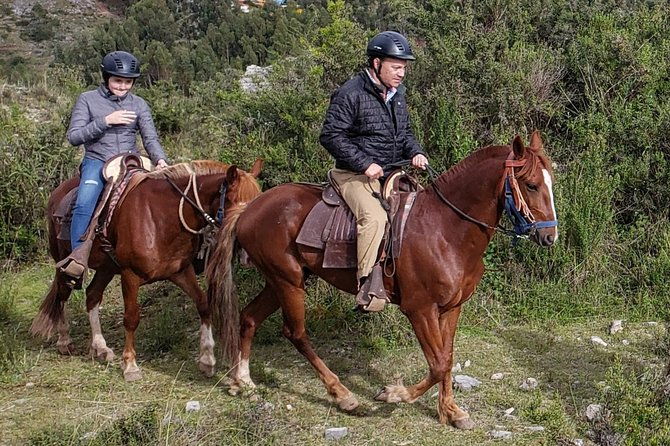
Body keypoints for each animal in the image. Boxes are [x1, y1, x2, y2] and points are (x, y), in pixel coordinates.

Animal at [31, 159, 263, 381]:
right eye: (238, 202)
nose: (249, 248)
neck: (161, 218)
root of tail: (57, 193)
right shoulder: (129, 275)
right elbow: (131, 318)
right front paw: (130, 366)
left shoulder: (180, 272)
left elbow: (203, 304)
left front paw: (207, 359)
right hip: (64, 262)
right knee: (62, 295)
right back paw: (64, 340)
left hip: (107, 268)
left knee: (92, 295)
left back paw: (100, 347)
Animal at [207, 131, 558, 428]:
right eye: (530, 185)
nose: (549, 236)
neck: (445, 229)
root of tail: (249, 207)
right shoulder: (419, 310)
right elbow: (438, 364)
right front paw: (394, 394)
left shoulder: (451, 308)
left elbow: (447, 358)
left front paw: (450, 411)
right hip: (288, 282)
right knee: (296, 334)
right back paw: (342, 395)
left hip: (277, 281)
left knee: (249, 318)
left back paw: (243, 382)